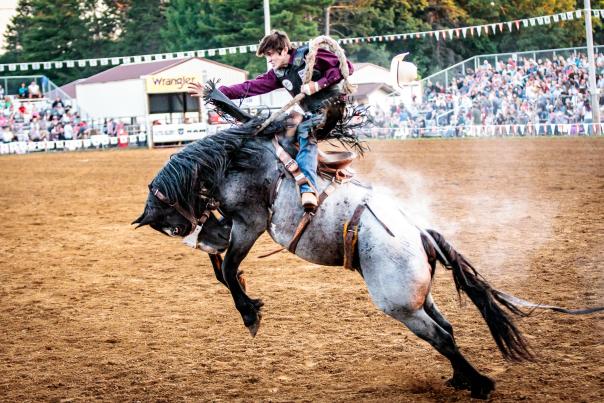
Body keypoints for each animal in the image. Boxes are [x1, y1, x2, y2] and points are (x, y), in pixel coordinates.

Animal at [133, 85, 604, 400]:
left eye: (169, 225)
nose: (194, 236)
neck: (237, 158)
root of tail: (421, 234)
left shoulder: (249, 222)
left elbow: (229, 269)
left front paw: (250, 313)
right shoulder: (233, 224)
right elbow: (222, 267)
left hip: (399, 304)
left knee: (441, 336)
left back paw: (480, 384)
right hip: (419, 297)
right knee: (446, 330)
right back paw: (460, 379)